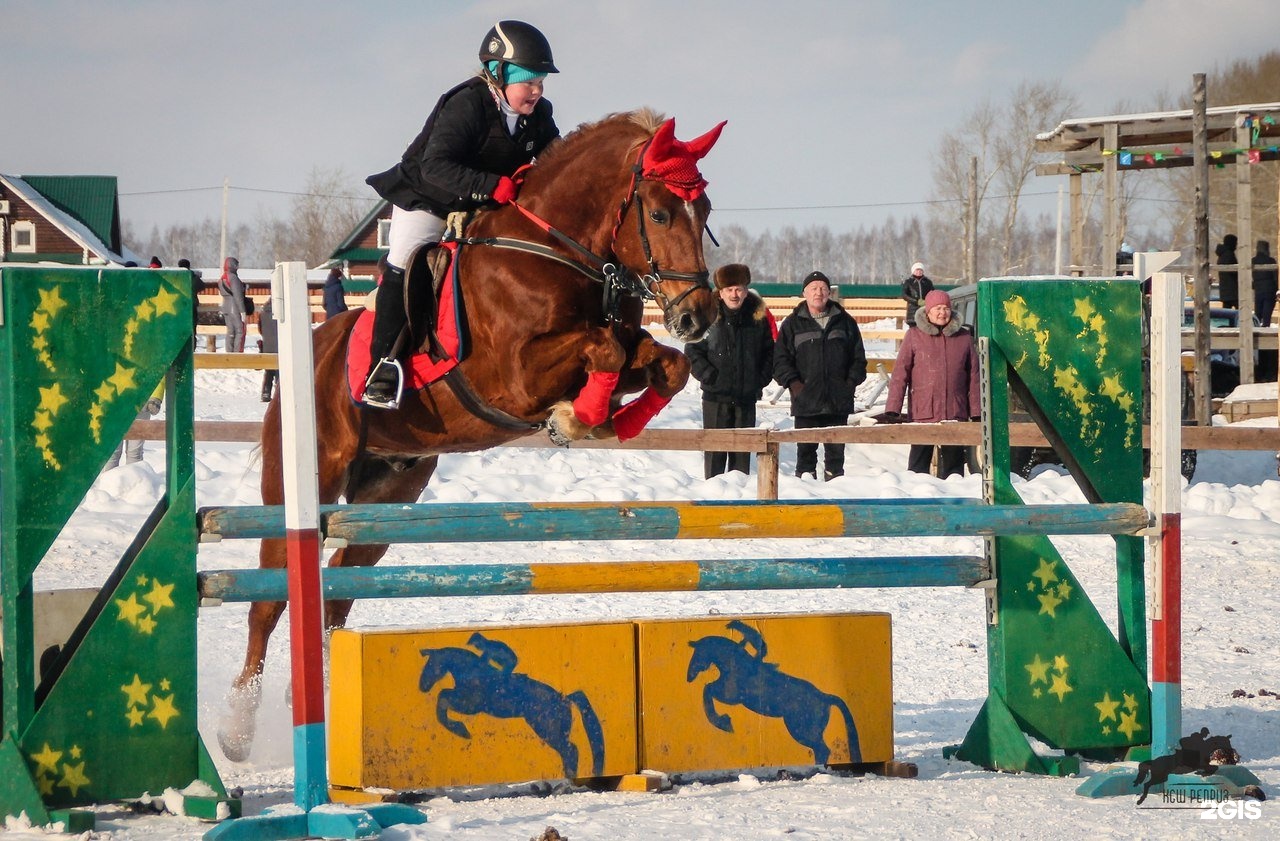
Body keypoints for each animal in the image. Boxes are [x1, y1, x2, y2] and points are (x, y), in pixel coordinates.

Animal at [215, 108, 727, 757]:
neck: (556, 251)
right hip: (306, 479)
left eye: (703, 210)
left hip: (389, 495)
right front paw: (576, 417)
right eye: (659, 213)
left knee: (337, 588)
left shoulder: (620, 351)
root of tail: (304, 360)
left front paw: (605, 419)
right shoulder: (514, 376)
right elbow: (605, 348)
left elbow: (664, 363)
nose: (697, 316)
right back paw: (237, 727)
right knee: (268, 600)